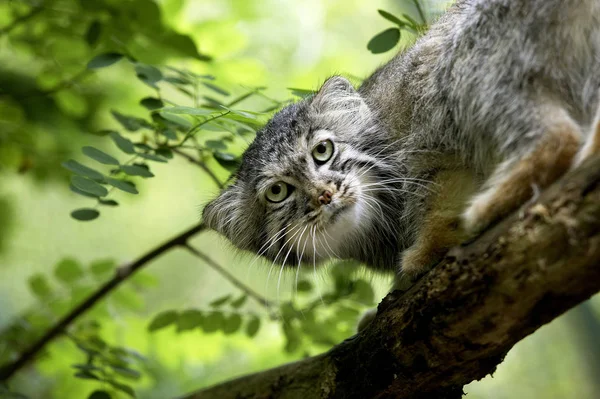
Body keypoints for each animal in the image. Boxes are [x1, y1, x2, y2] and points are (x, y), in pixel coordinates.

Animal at [203, 0, 600, 298]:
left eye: (323, 151)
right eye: (277, 192)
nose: (324, 195)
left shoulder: (428, 137)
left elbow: (438, 197)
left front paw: (427, 249)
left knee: (558, 137)